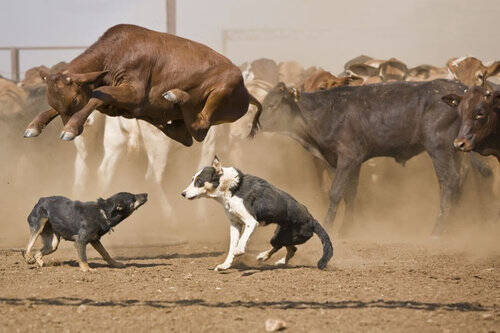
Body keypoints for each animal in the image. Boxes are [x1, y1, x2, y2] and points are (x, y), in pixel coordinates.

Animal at [24, 24, 262, 146]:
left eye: (74, 99)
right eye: (53, 101)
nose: (75, 130)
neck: (114, 54)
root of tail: (246, 91)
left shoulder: (135, 92)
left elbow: (99, 93)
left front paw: (70, 128)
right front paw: (34, 125)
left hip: (223, 88)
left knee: (200, 127)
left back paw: (176, 95)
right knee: (186, 136)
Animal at [182, 156, 334, 270]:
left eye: (199, 181)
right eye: (192, 179)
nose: (182, 193)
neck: (233, 188)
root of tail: (312, 220)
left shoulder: (251, 222)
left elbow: (241, 241)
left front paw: (239, 251)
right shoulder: (235, 224)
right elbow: (231, 246)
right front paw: (225, 265)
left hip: (287, 236)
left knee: (285, 247)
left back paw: (265, 256)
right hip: (280, 235)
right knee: (291, 249)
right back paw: (271, 259)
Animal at [254, 80, 488, 236]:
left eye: (273, 105)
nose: (256, 124)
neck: (324, 113)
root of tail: (461, 89)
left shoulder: (348, 157)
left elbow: (336, 193)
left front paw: (329, 226)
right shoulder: (351, 161)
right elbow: (350, 194)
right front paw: (348, 229)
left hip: (438, 147)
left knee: (449, 182)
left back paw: (438, 231)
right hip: (456, 151)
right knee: (460, 180)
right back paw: (454, 228)